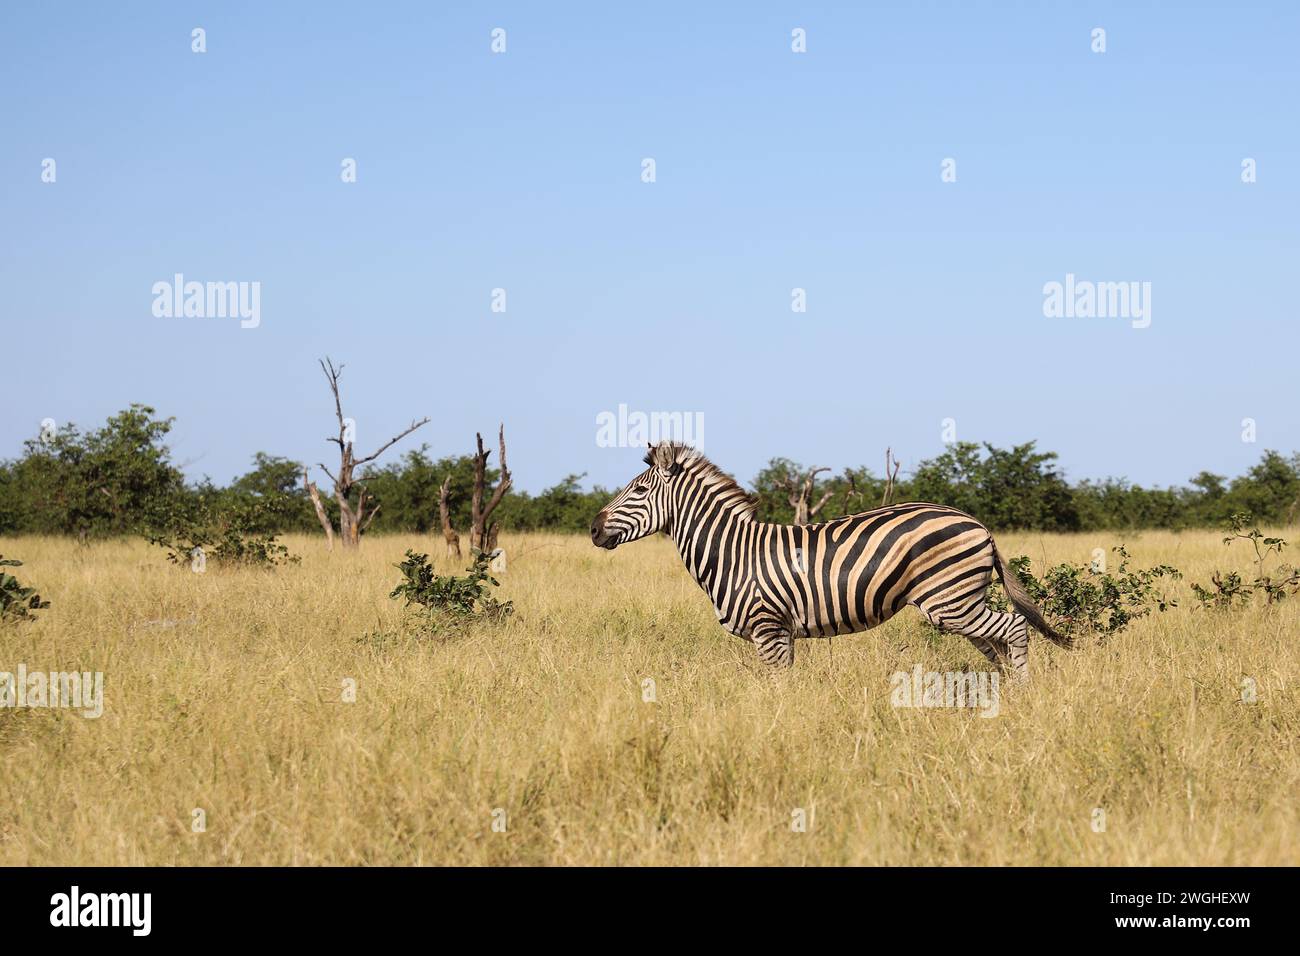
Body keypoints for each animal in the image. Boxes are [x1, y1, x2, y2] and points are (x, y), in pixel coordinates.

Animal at [590, 442, 1070, 677]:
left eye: (638, 490)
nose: (593, 529)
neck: (732, 552)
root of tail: (979, 524)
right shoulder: (779, 633)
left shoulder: (769, 629)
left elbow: (779, 689)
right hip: (960, 601)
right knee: (998, 643)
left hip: (950, 601)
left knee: (1014, 628)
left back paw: (1022, 695)